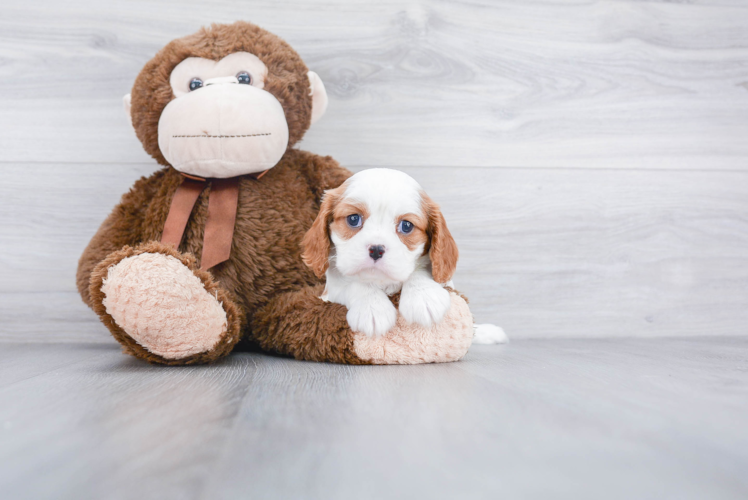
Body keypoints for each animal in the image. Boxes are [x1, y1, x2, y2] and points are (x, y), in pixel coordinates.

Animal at [300, 168, 458, 336]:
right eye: (353, 219)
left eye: (406, 225)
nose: (376, 250)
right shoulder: (330, 292)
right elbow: (354, 284)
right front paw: (371, 307)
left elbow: (420, 270)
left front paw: (423, 295)